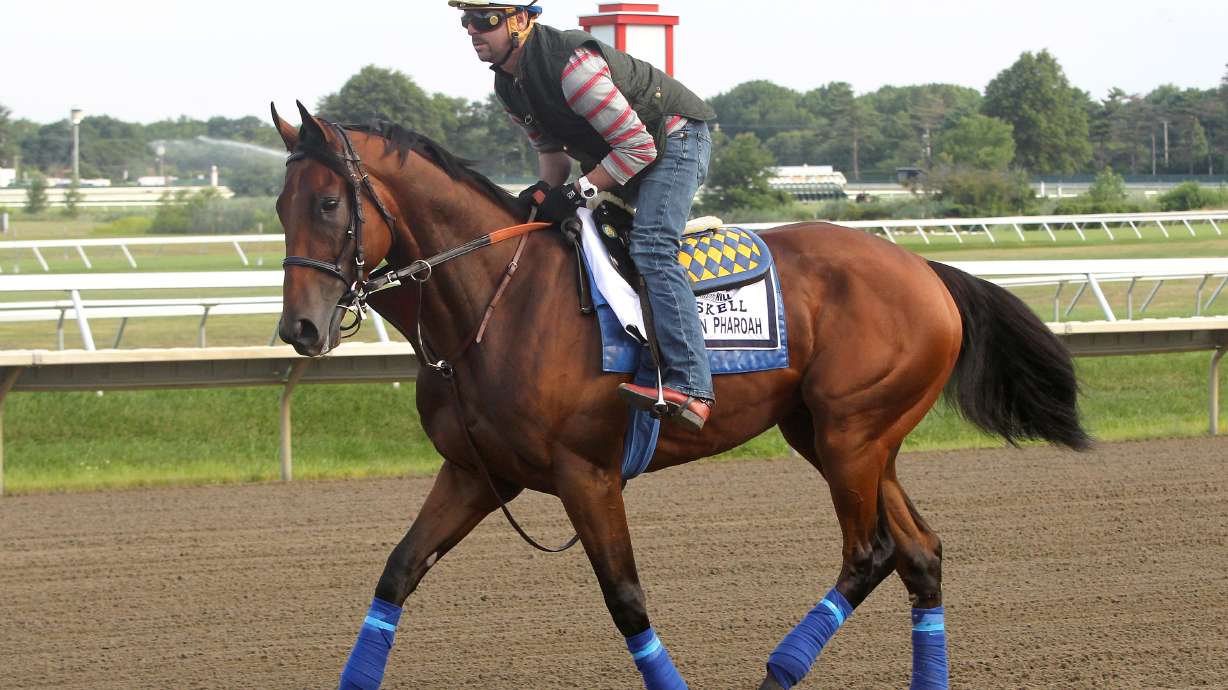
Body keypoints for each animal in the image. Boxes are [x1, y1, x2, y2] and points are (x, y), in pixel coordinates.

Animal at [271, 101, 1089, 690]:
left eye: (330, 205)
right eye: (281, 206)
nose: (300, 328)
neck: (494, 303)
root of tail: (924, 268)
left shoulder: (587, 474)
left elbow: (626, 600)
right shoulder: (476, 471)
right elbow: (397, 573)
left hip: (852, 434)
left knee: (871, 552)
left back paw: (780, 669)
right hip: (843, 437)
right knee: (919, 554)